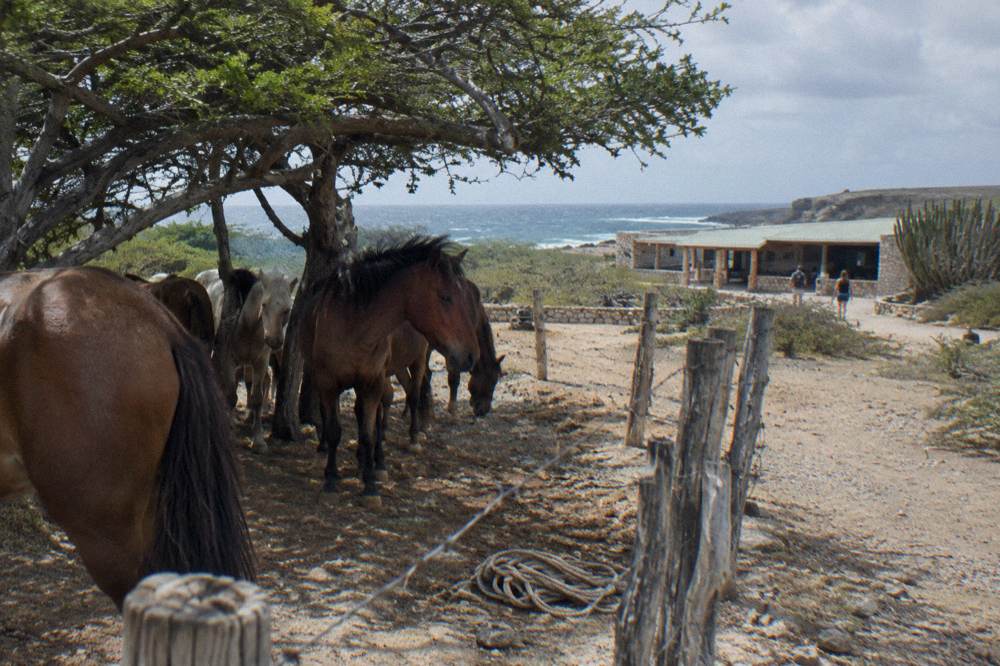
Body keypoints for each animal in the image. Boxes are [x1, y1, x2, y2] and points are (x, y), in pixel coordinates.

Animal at [200, 268, 297, 453]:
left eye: (287, 309)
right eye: (264, 304)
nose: (274, 340)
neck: (247, 324)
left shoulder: (260, 362)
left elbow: (257, 397)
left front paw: (258, 439)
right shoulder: (229, 361)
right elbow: (231, 395)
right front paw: (229, 428)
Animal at [302, 236, 479, 504]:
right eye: (446, 297)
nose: (470, 355)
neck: (352, 325)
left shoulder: (372, 383)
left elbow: (368, 432)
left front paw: (370, 485)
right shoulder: (328, 384)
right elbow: (334, 430)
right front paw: (331, 478)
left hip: (414, 363)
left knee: (409, 398)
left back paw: (393, 451)